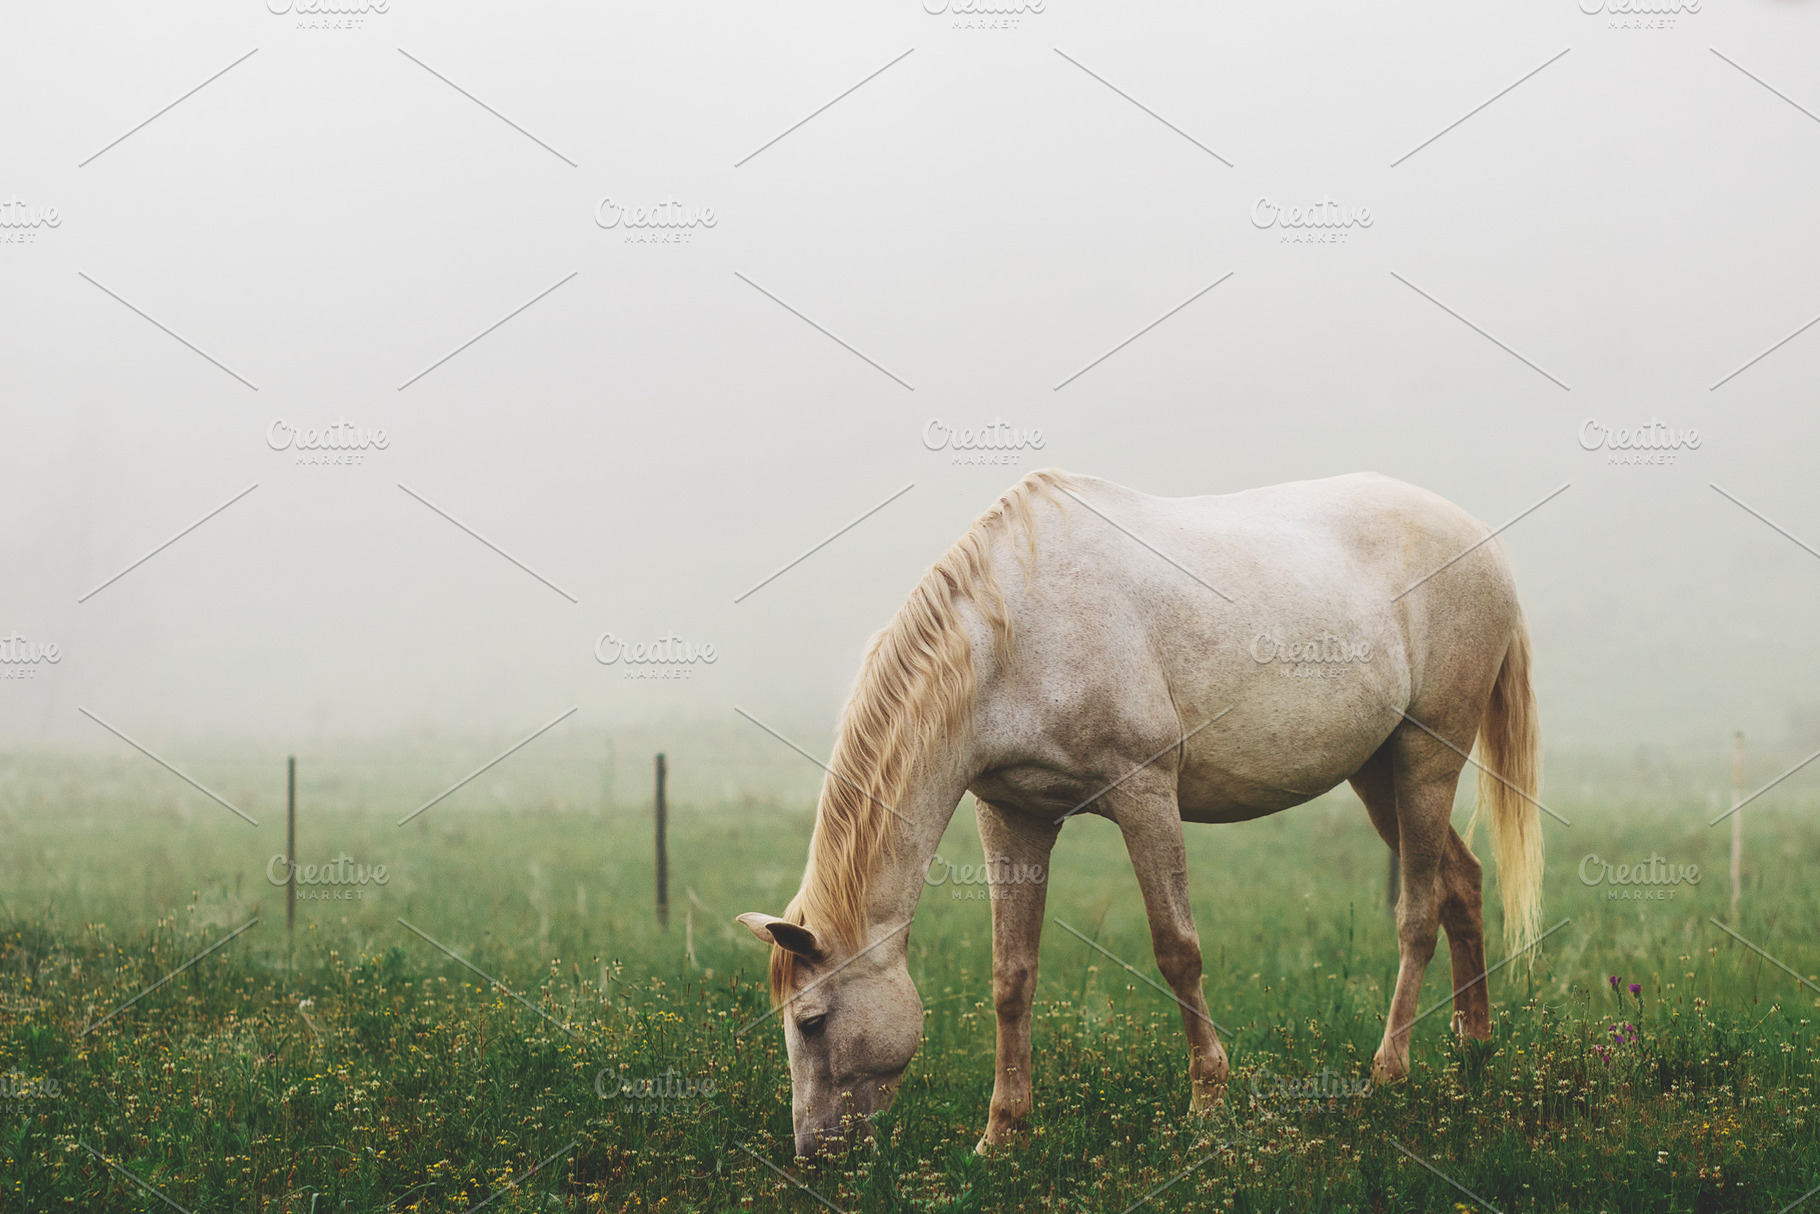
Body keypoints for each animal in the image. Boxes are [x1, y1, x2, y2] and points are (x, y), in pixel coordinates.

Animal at [738, 468, 1543, 1158]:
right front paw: (1001, 1136)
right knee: (1461, 884)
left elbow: (1178, 950)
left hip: (1425, 757)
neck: (1015, 636)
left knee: (1418, 914)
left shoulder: (1145, 791)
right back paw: (1474, 1054)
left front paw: (1208, 1105)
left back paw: (1389, 1071)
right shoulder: (1012, 814)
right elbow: (1011, 975)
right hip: (1377, 771)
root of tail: (1484, 540)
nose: (814, 1152)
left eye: (811, 1020)